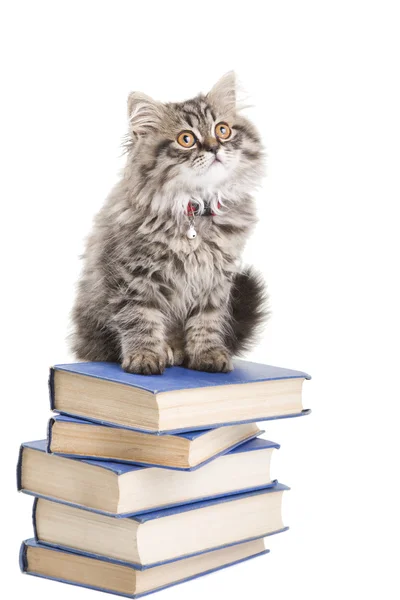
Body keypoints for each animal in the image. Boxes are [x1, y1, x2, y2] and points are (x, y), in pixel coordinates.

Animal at [71, 72, 268, 372]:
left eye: (223, 130)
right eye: (186, 139)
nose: (214, 148)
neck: (195, 209)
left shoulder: (215, 278)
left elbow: (207, 320)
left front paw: (208, 354)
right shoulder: (134, 275)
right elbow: (139, 317)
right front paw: (144, 356)